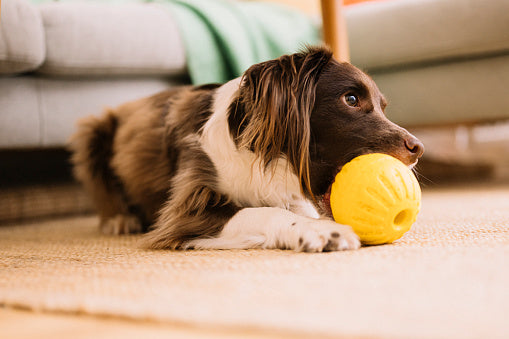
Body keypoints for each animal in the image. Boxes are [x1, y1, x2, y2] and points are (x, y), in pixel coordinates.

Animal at [69, 45, 422, 252]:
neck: (267, 158)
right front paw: (321, 231)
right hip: (93, 130)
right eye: (350, 98)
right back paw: (119, 218)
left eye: (383, 106)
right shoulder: (187, 209)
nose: (417, 148)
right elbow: (258, 211)